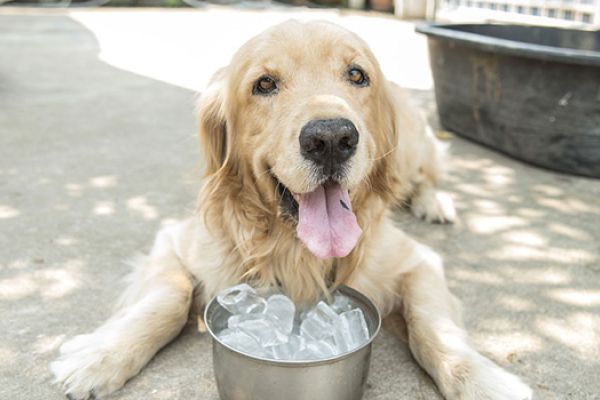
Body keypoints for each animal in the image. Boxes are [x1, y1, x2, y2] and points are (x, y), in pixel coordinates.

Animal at [50, 21, 528, 400]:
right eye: (264, 84)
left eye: (357, 75)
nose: (332, 138)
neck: (294, 247)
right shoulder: (174, 240)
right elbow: (169, 297)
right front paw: (99, 356)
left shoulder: (418, 260)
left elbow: (432, 325)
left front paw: (481, 379)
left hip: (413, 149)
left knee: (428, 174)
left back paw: (435, 201)